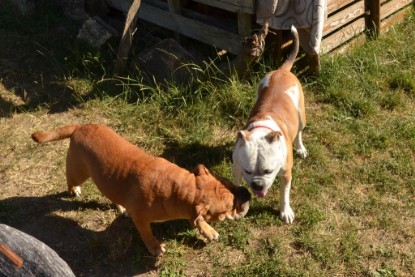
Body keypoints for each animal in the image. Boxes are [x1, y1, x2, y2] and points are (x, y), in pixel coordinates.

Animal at [30, 124, 250, 256]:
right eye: (228, 208)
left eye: (229, 183)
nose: (247, 193)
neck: (179, 187)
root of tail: (80, 126)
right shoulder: (142, 219)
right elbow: (147, 234)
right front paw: (155, 247)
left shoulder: (191, 209)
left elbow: (197, 220)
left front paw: (207, 231)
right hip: (78, 171)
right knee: (70, 179)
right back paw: (73, 190)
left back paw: (121, 208)